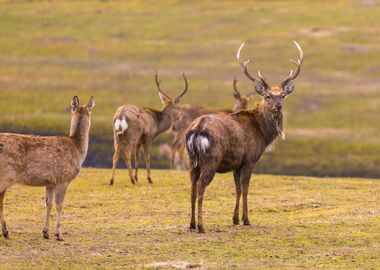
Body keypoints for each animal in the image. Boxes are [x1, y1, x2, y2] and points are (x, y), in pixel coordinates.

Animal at [0, 96, 94, 239]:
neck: (77, 149)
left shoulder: (50, 182)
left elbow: (48, 204)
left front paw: (45, 232)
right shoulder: (63, 178)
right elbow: (59, 204)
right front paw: (59, 234)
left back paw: (5, 231)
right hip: (6, 174)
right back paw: (5, 231)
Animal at [186, 41, 304, 233]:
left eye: (283, 95)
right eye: (267, 96)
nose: (279, 105)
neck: (262, 134)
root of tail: (196, 130)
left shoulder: (236, 163)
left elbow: (238, 189)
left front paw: (235, 219)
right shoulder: (249, 159)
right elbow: (246, 188)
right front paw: (247, 219)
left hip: (191, 160)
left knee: (192, 187)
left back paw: (191, 224)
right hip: (211, 159)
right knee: (200, 186)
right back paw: (202, 226)